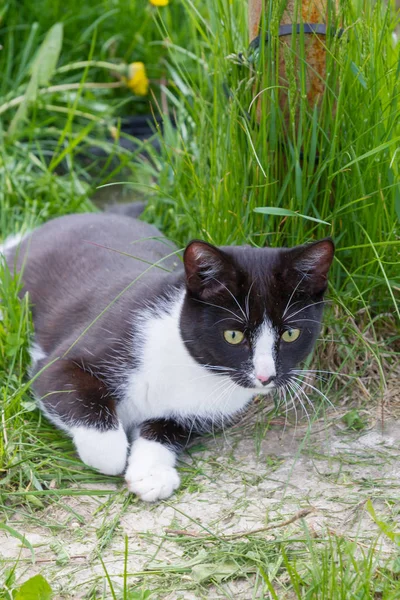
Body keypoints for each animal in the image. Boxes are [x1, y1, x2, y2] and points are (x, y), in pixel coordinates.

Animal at [1, 210, 334, 502]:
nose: (265, 376)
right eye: (233, 335)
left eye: (290, 334)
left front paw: (152, 473)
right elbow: (76, 396)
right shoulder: (68, 357)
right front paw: (112, 453)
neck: (191, 365)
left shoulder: (195, 413)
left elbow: (165, 430)